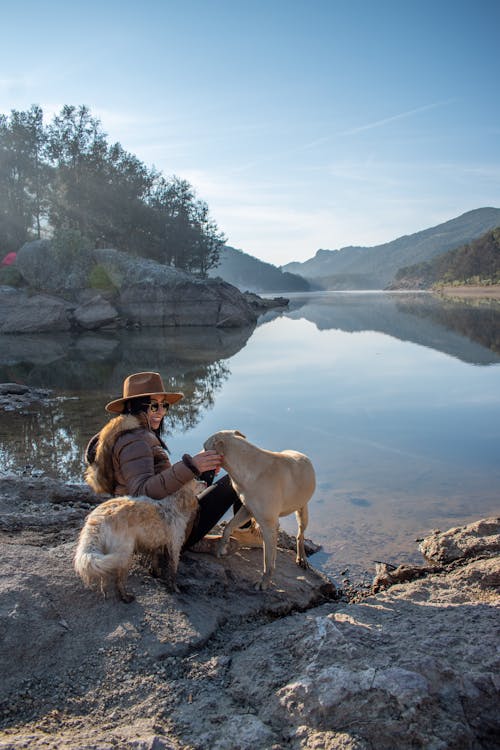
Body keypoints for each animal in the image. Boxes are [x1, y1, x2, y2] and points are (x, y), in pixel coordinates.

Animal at [73, 482, 202, 604]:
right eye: (196, 481)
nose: (205, 482)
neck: (175, 504)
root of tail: (99, 518)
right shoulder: (175, 545)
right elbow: (173, 571)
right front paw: (175, 588)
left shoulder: (156, 542)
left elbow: (155, 559)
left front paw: (155, 573)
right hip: (124, 553)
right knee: (119, 581)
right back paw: (125, 597)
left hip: (106, 553)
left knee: (104, 576)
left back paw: (105, 594)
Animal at [202, 432, 312, 592]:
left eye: (205, 448)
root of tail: (302, 455)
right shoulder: (247, 510)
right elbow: (228, 527)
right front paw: (221, 547)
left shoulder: (269, 525)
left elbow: (267, 561)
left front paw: (264, 582)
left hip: (302, 511)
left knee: (300, 535)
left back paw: (302, 557)